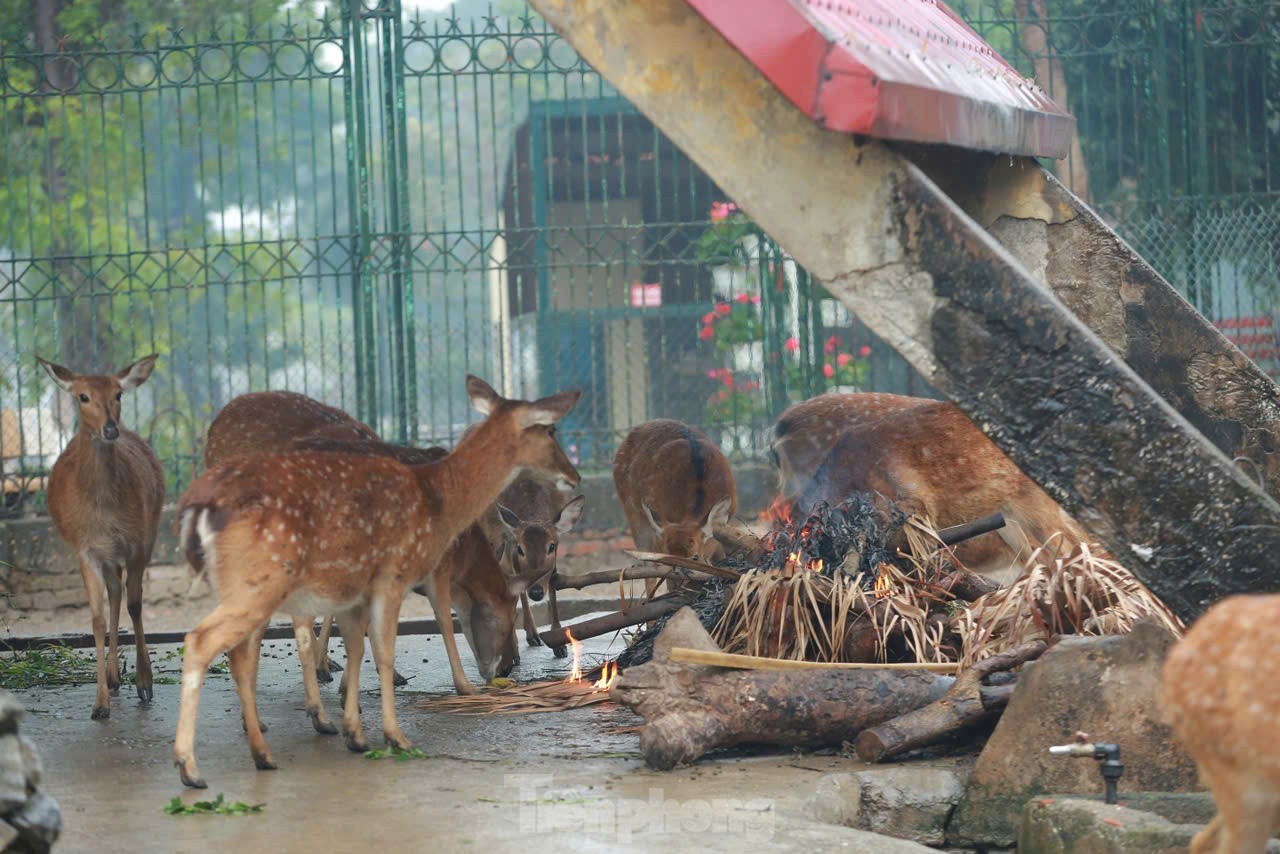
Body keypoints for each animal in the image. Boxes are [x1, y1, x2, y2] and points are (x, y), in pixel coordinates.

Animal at [36, 353, 163, 722]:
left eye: (118, 394)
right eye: (83, 396)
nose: (110, 428)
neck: (104, 511)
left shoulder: (139, 542)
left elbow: (137, 604)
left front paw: (145, 682)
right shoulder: (86, 549)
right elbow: (95, 617)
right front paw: (99, 704)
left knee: (124, 595)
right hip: (106, 556)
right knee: (114, 591)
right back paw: (113, 676)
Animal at [174, 376, 581, 793]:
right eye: (550, 430)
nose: (508, 666)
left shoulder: (360, 586)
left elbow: (357, 643)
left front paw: (354, 727)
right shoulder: (408, 571)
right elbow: (419, 631)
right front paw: (412, 722)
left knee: (244, 650)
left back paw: (265, 744)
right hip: (266, 580)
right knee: (207, 641)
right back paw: (194, 766)